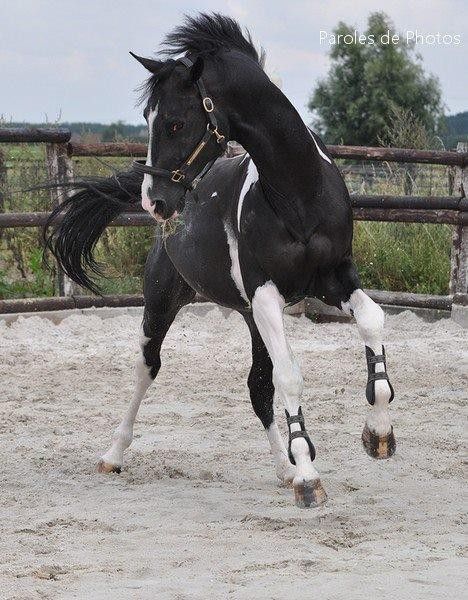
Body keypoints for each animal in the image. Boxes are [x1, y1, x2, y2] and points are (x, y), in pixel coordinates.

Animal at [44, 12, 394, 506]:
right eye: (147, 119)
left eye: (174, 123)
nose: (154, 201)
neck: (299, 195)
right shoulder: (267, 294)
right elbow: (290, 377)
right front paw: (309, 478)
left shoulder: (335, 279)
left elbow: (372, 322)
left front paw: (378, 435)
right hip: (163, 303)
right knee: (146, 369)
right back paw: (113, 455)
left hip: (250, 317)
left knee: (257, 388)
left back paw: (284, 468)